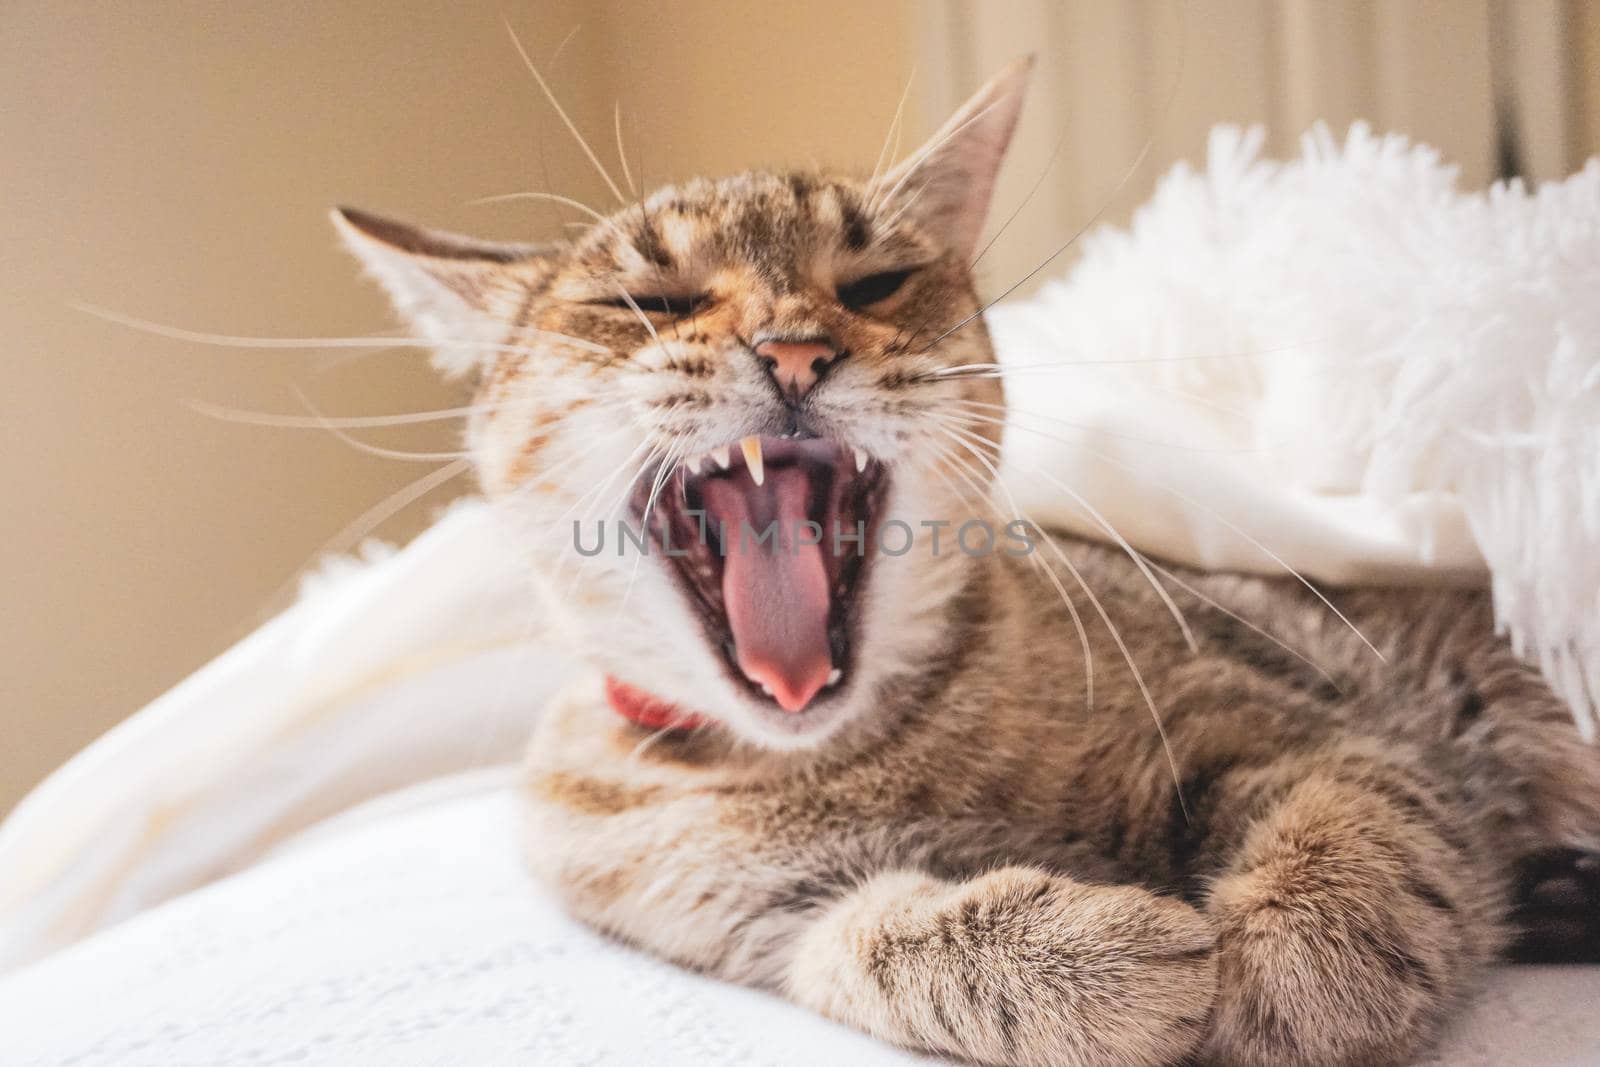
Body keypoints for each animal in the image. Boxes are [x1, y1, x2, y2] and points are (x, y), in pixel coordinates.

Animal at [337, 58, 1600, 1067]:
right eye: (644, 300)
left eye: (873, 282)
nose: (793, 347)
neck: (847, 754)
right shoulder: (760, 918)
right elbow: (872, 937)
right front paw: (1100, 957)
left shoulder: (1314, 717)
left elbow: (1353, 828)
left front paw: (1297, 965)